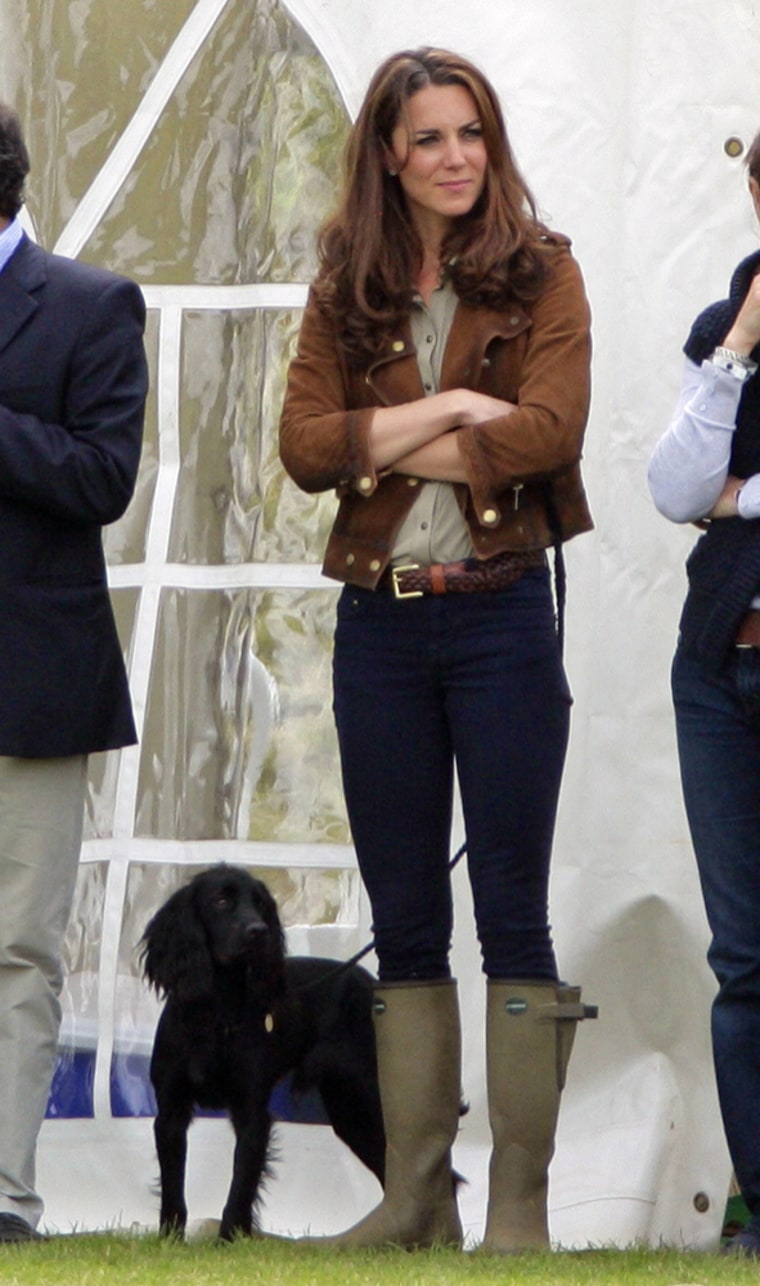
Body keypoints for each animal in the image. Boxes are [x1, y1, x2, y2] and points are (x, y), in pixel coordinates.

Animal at [141, 864, 385, 1234]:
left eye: (260, 904)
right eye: (222, 900)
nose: (258, 931)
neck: (217, 1015)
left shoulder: (252, 1113)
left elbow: (241, 1187)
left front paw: (230, 1238)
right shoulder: (171, 1110)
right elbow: (173, 1191)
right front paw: (169, 1238)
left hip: (370, 1097)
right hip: (351, 1113)